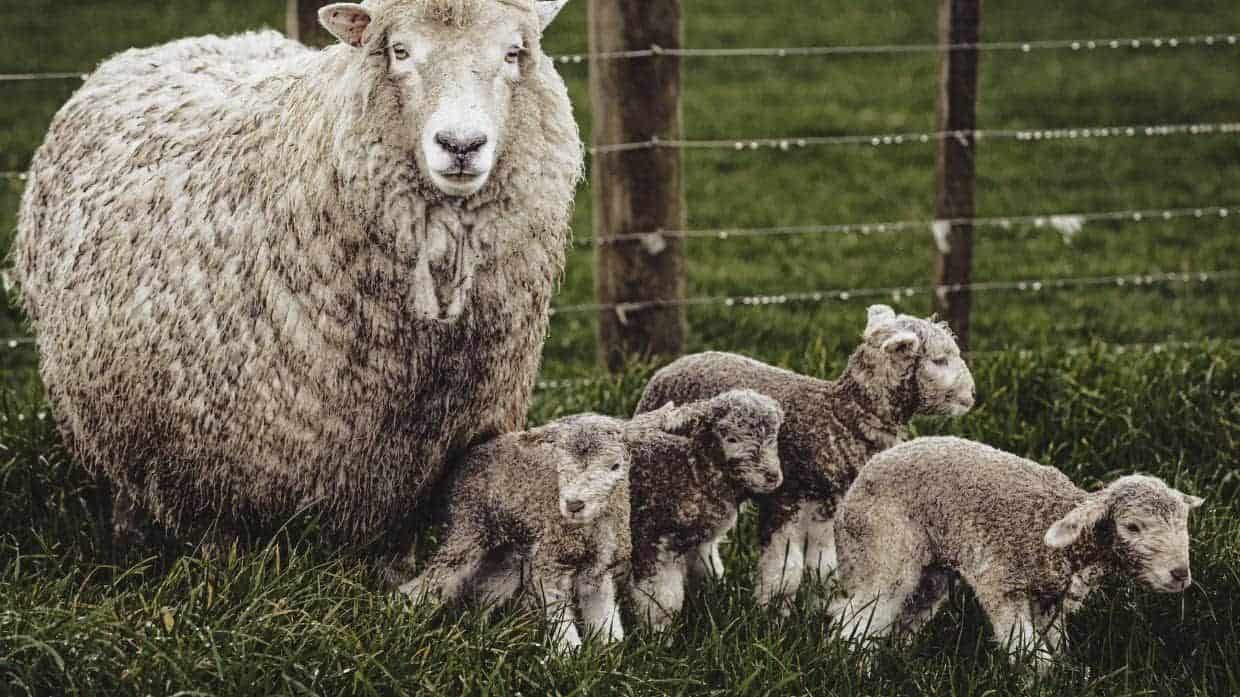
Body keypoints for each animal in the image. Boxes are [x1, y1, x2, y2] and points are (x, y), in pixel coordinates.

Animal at [629, 386, 783, 627]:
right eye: (731, 439)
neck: (691, 467)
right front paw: (659, 631)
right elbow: (661, 599)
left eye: (774, 437)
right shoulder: (652, 539)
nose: (772, 477)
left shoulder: (700, 543)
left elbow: (709, 573)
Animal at [639, 303, 977, 607]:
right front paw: (772, 616)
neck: (841, 417)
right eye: (940, 360)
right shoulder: (784, 501)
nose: (972, 395)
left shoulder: (826, 508)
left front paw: (815, 610)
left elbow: (822, 570)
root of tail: (672, 365)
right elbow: (784, 574)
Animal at [833, 436, 1200, 669]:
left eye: (1183, 523)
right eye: (1133, 527)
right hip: (885, 550)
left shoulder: (1049, 600)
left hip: (931, 575)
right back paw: (855, 668)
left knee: (901, 617)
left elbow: (1055, 648)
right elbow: (1030, 653)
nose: (1180, 574)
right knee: (860, 618)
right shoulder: (1002, 584)